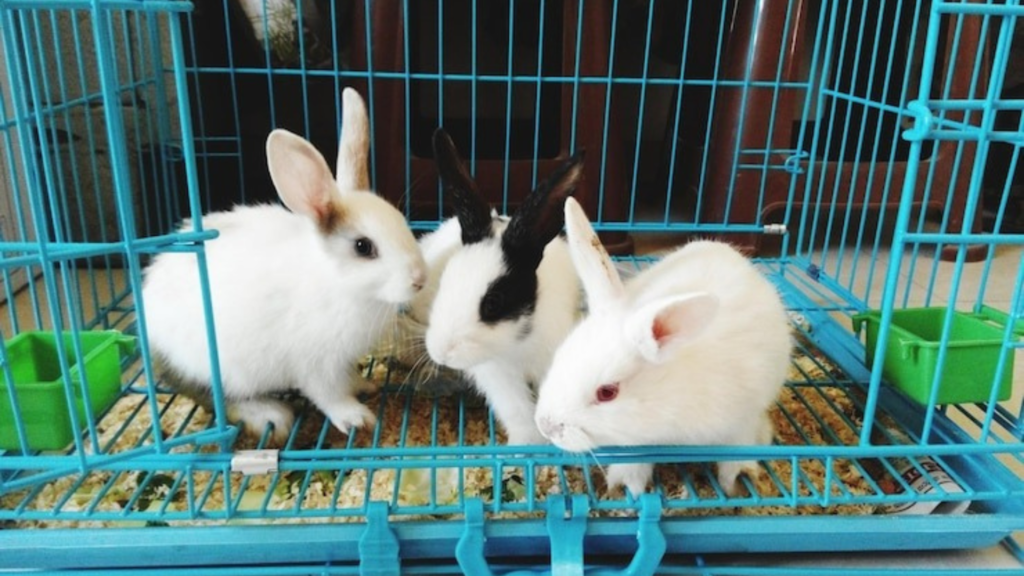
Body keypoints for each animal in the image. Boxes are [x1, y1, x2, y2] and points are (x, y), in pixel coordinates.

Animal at [140, 88, 427, 443]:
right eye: (363, 247)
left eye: (402, 222)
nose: (419, 279)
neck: (338, 284)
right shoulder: (317, 365)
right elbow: (329, 395)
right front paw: (356, 418)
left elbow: (348, 379)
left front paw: (364, 385)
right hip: (217, 370)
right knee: (214, 399)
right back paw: (269, 415)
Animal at [424, 128, 585, 445]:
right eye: (444, 283)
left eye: (493, 303)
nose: (442, 353)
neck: (516, 344)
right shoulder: (499, 377)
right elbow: (517, 410)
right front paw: (525, 445)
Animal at [534, 197, 792, 498]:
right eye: (560, 356)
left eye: (607, 393)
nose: (546, 426)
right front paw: (626, 486)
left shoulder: (742, 420)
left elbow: (737, 452)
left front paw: (736, 483)